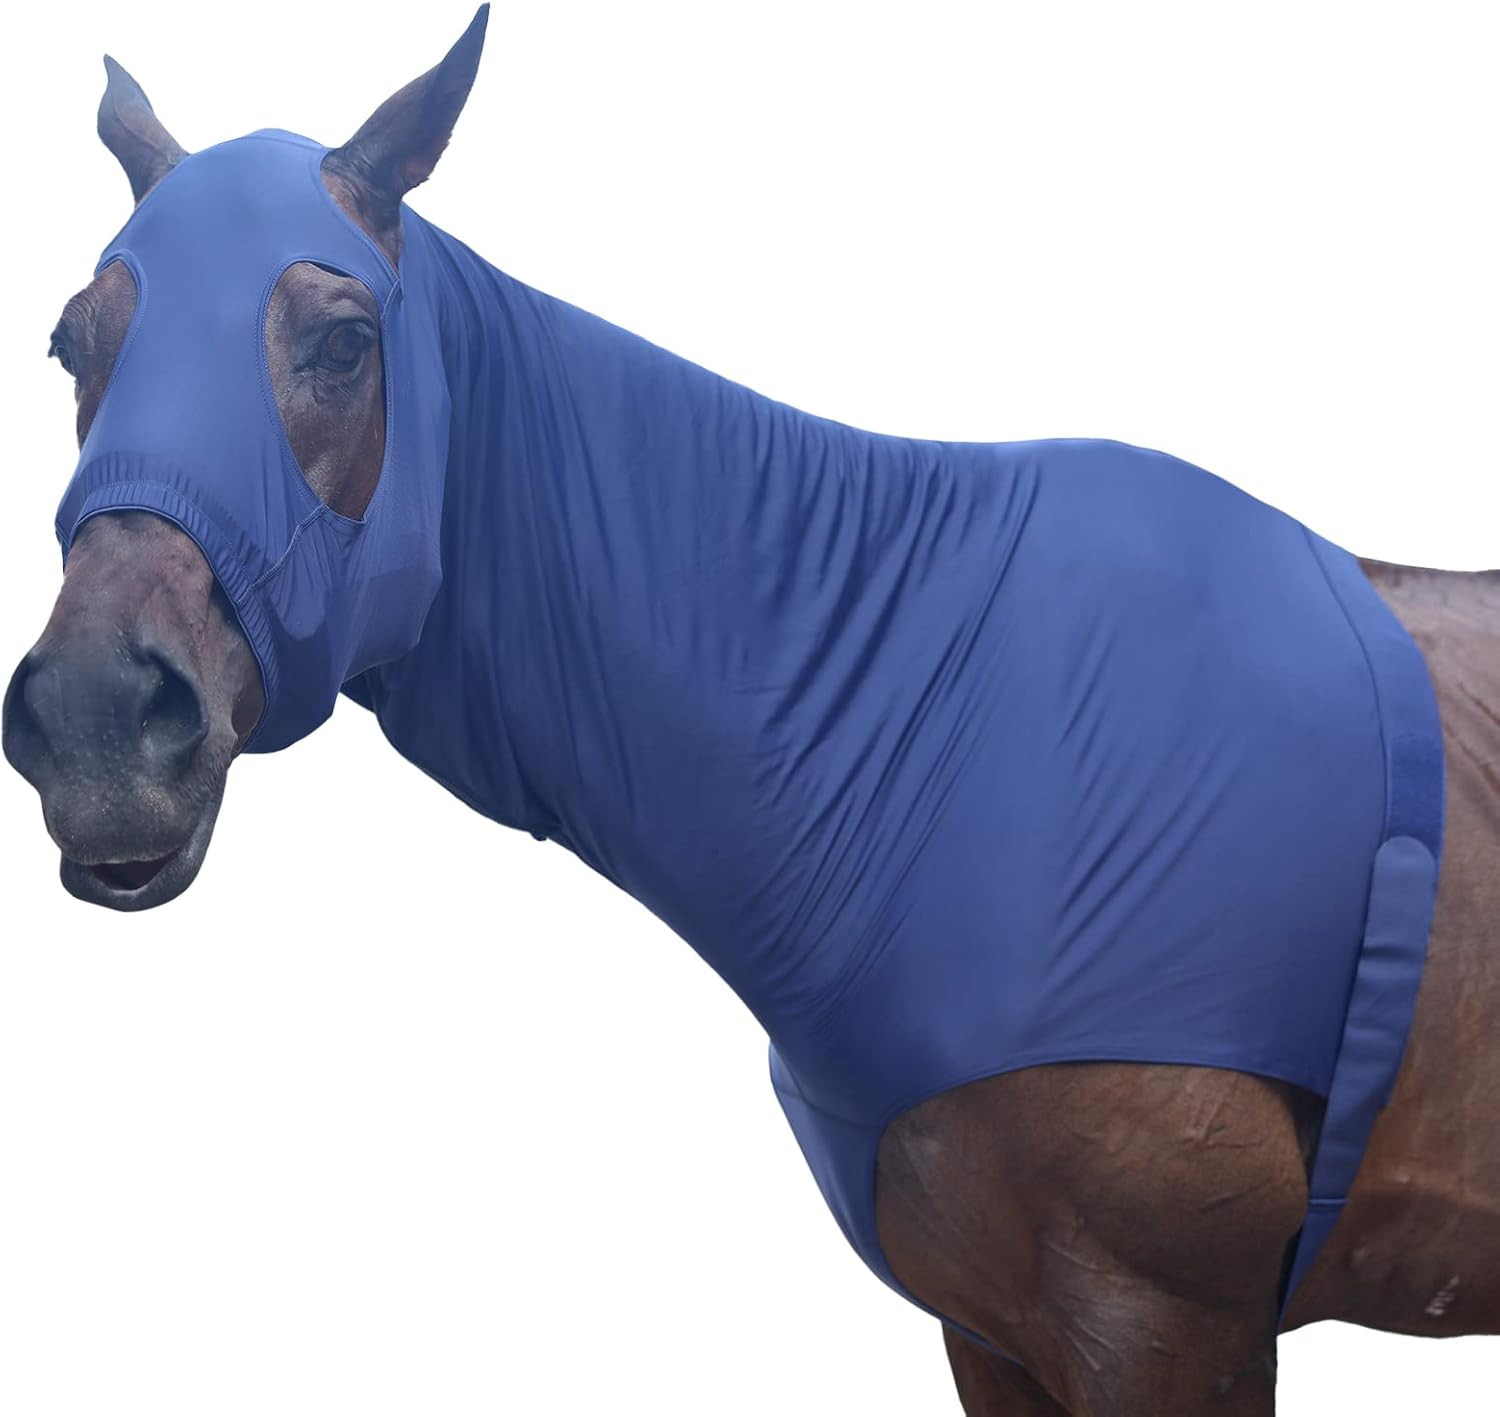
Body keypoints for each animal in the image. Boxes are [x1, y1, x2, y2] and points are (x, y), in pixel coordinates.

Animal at [3, 9, 1496, 1413]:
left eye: (343, 338)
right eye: (72, 342)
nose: (93, 725)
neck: (961, 738)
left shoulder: (1173, 1333)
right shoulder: (994, 1334)